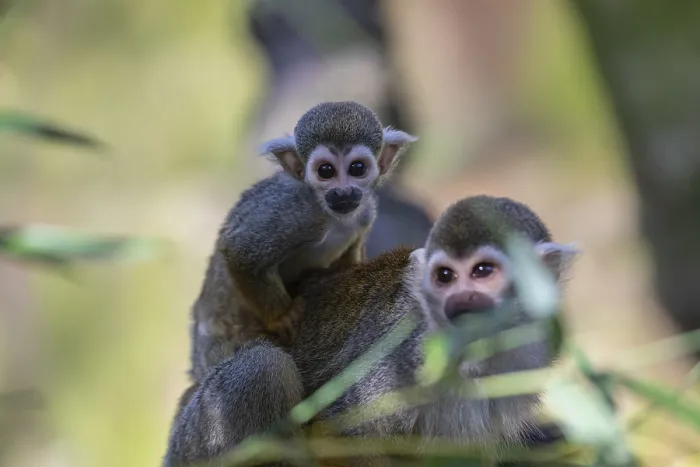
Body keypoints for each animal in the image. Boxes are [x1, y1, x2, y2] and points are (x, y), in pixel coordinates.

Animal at [163, 195, 579, 467]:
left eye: (483, 272)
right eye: (444, 276)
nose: (460, 303)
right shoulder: (405, 356)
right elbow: (340, 433)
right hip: (197, 439)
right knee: (264, 368)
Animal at [189, 100, 417, 382]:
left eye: (357, 168)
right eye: (326, 171)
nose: (342, 192)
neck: (332, 216)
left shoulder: (365, 213)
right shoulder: (296, 210)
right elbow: (240, 251)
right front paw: (282, 317)